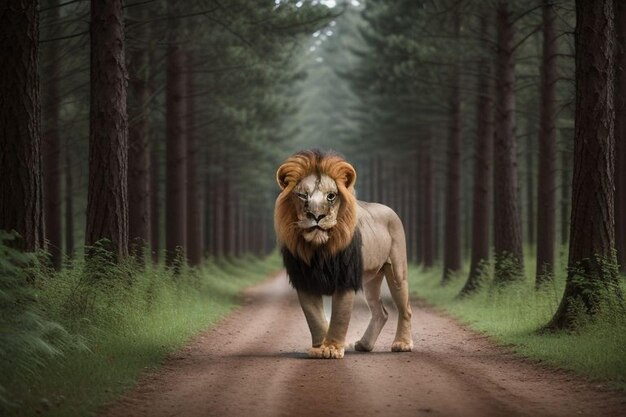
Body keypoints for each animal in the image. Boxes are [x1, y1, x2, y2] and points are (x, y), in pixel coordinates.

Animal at [272, 150, 410, 358]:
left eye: (331, 196)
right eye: (303, 195)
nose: (317, 216)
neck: (319, 249)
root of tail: (390, 209)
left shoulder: (345, 279)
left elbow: (339, 317)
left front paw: (331, 348)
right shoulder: (304, 280)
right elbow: (314, 318)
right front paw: (319, 348)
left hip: (396, 270)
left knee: (405, 309)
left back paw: (402, 344)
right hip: (371, 280)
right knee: (382, 312)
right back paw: (364, 345)